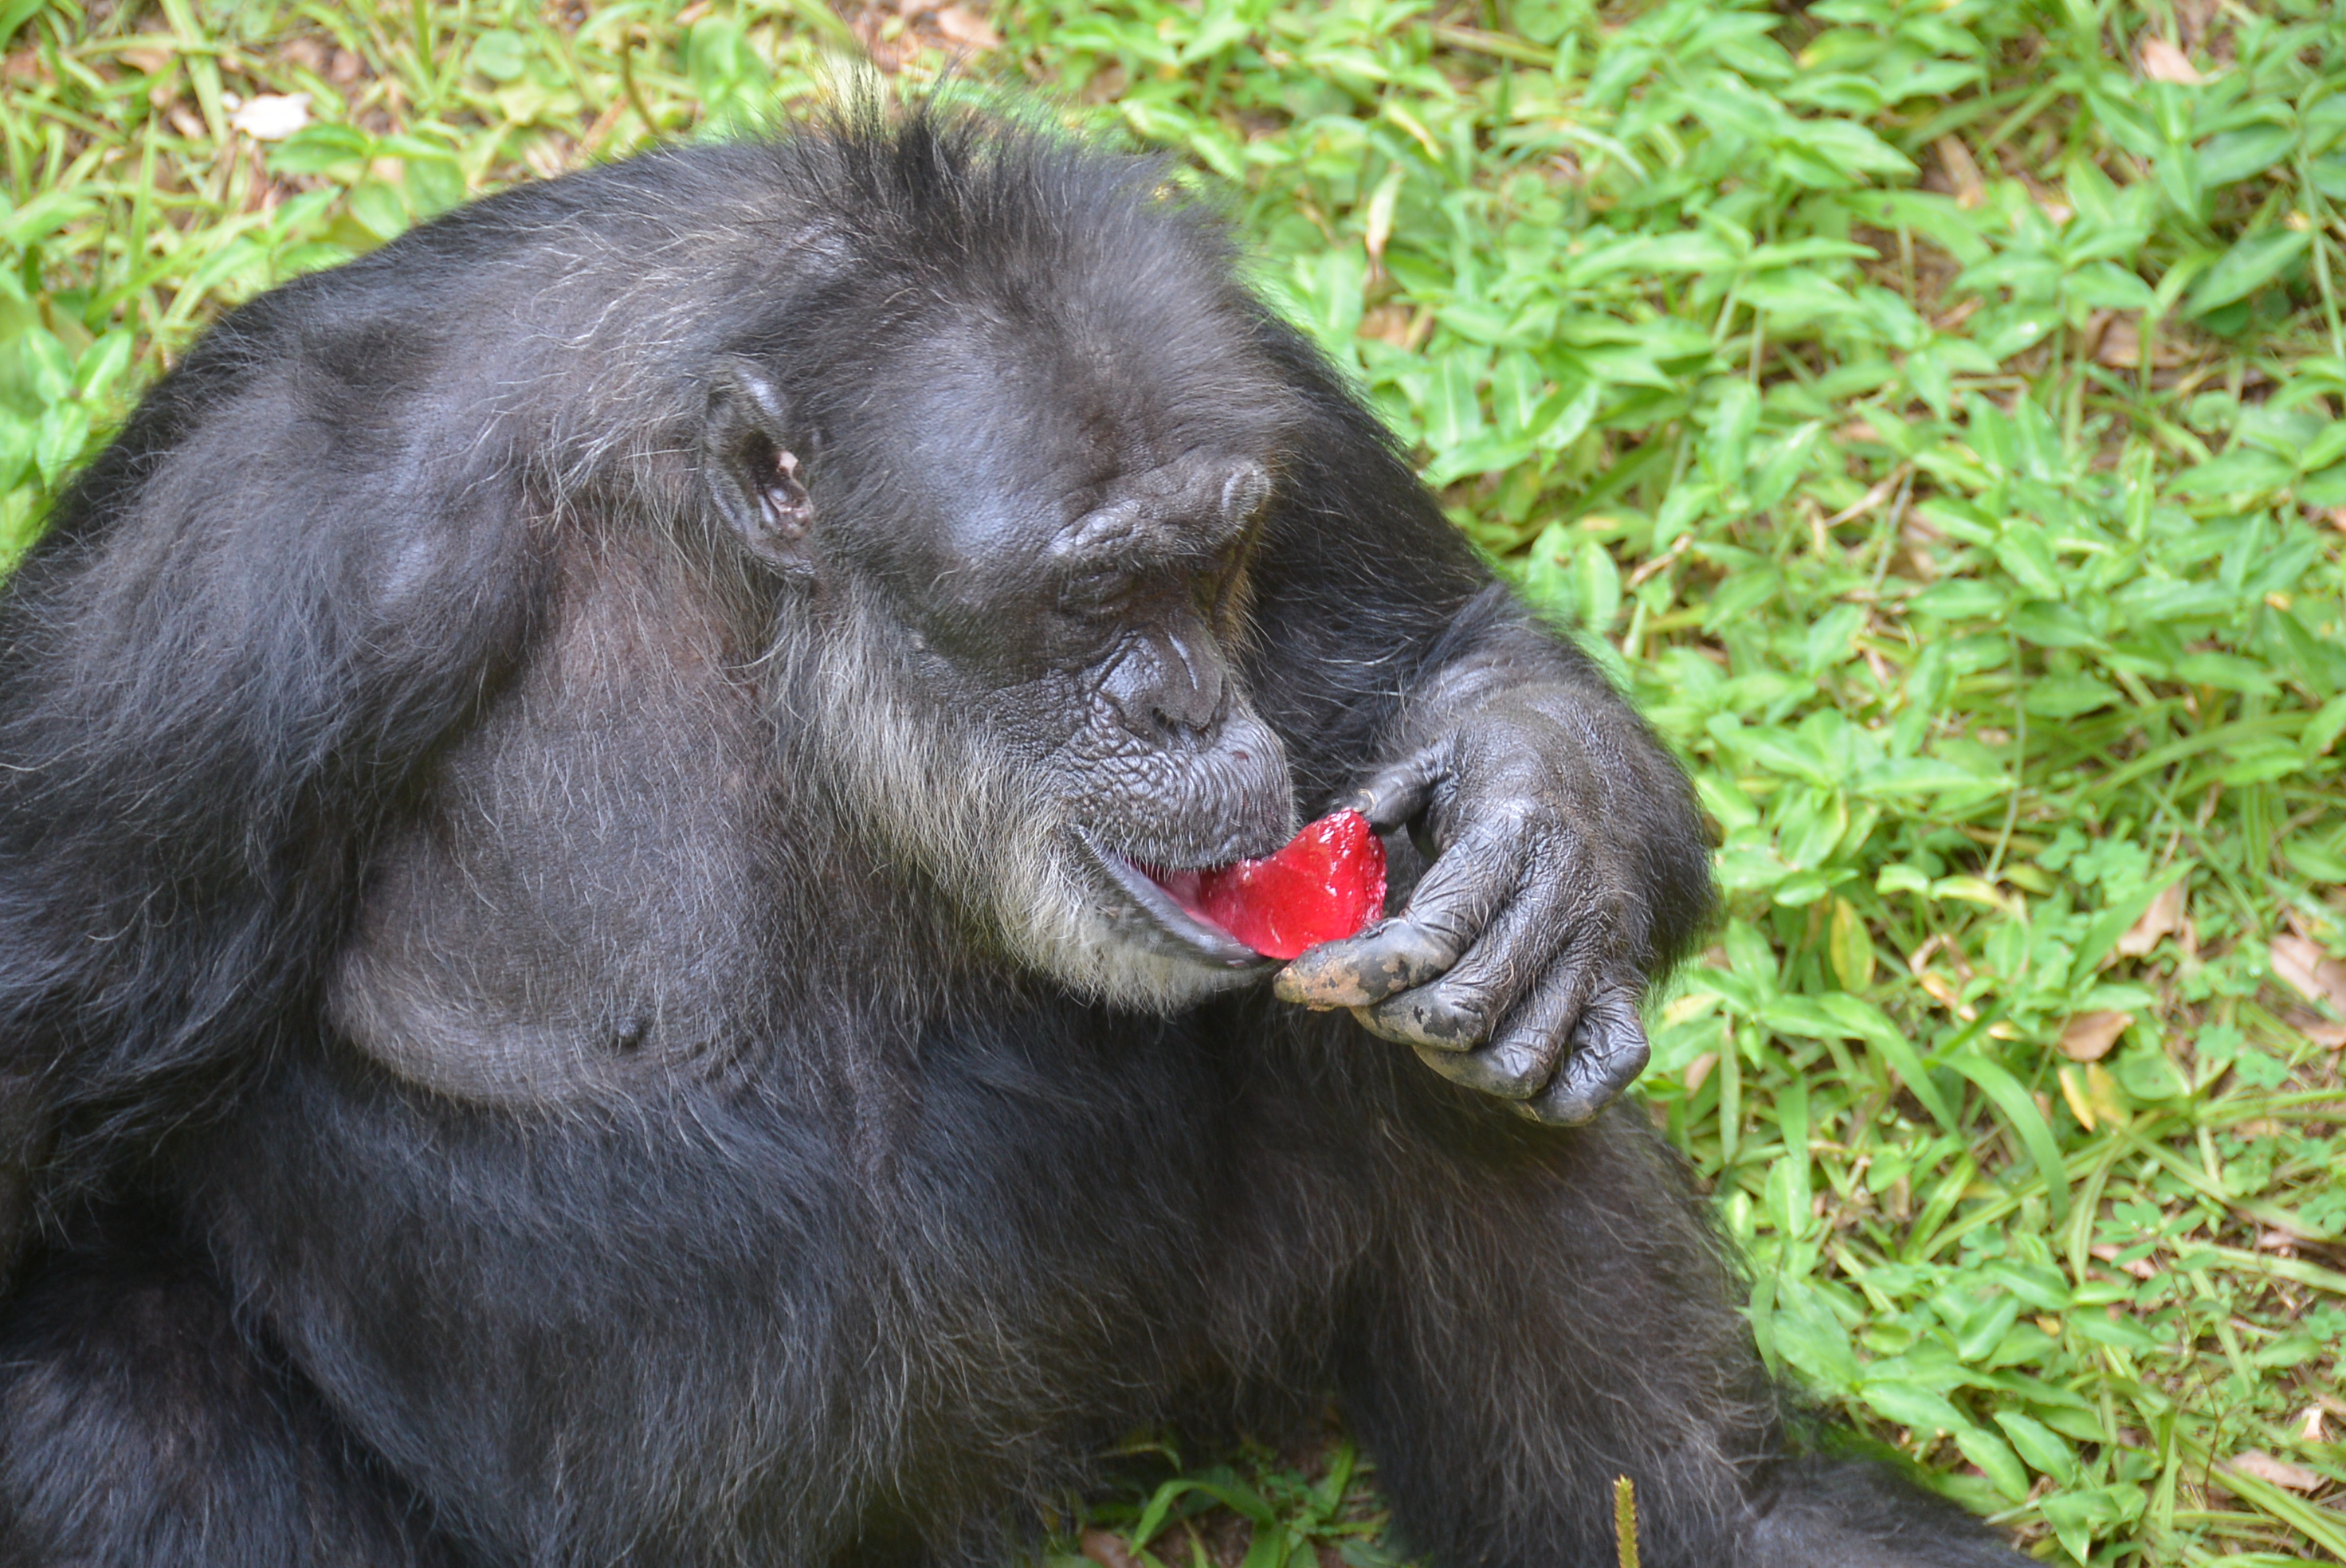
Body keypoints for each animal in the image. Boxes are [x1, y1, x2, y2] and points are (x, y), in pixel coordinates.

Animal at [0, 103, 2031, 1568]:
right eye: (1089, 597)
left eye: (1210, 560)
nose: (1188, 703)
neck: (737, 562)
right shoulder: (221, 599)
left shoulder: (1269, 390)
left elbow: (1447, 640)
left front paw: (1542, 824)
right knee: (121, 1393)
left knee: (1423, 1080)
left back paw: (1731, 1521)